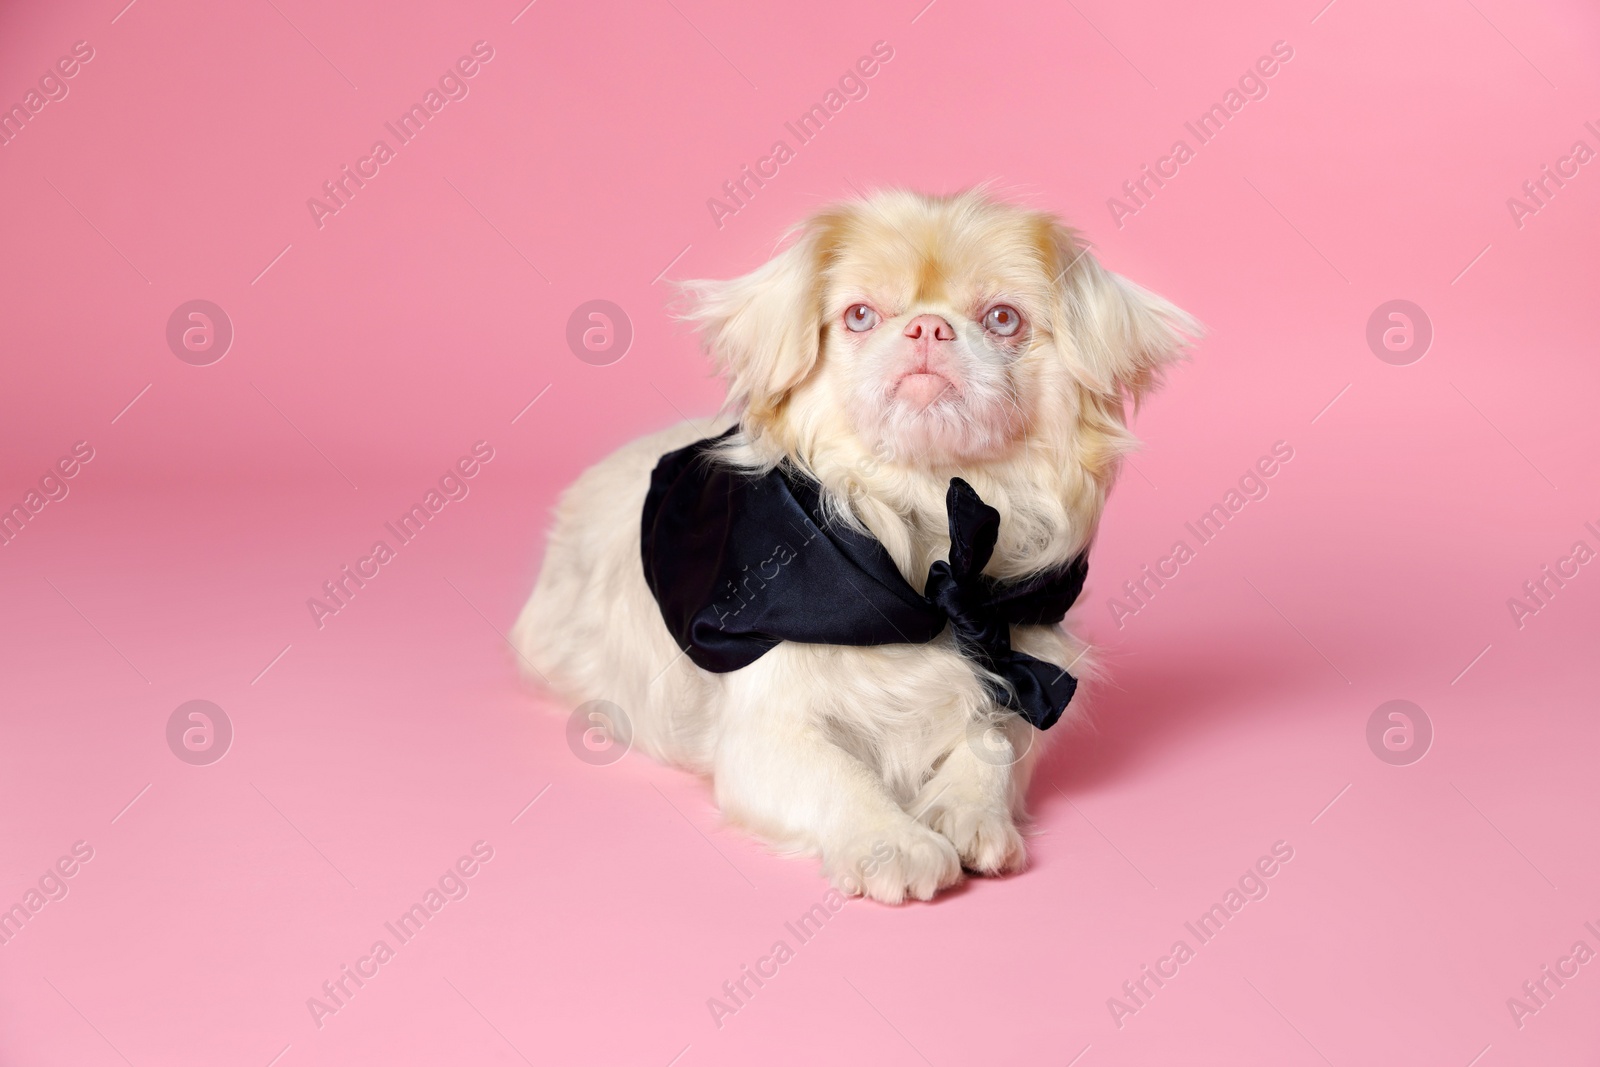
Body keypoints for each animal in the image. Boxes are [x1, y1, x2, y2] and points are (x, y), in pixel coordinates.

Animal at [505, 189, 1196, 902]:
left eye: (1003, 318)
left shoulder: (1020, 676)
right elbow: (842, 776)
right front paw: (896, 843)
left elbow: (992, 745)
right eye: (860, 316)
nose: (929, 327)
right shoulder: (766, 735)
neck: (921, 528)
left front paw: (967, 814)